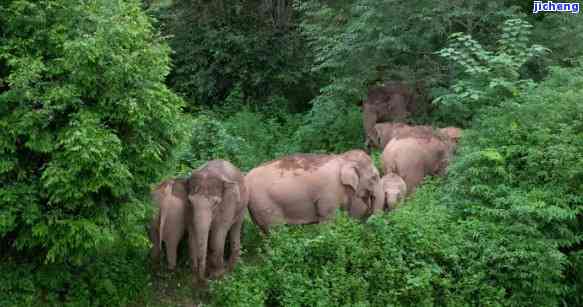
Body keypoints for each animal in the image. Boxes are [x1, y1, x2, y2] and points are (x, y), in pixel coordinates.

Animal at [187, 160, 249, 288]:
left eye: (215, 203)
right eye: (190, 201)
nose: (204, 279)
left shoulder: (229, 204)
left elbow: (219, 233)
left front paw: (218, 276)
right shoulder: (189, 211)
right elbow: (192, 233)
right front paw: (195, 276)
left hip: (243, 206)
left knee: (236, 227)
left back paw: (231, 269)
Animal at [245, 150, 386, 235]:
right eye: (374, 177)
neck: (342, 158)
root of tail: (246, 179)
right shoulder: (329, 192)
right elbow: (328, 219)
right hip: (265, 204)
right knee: (275, 230)